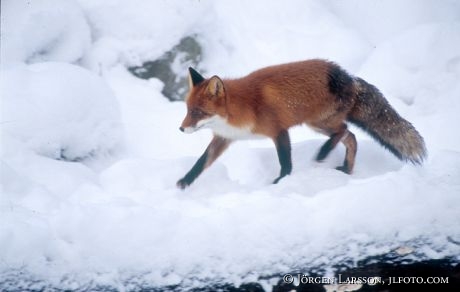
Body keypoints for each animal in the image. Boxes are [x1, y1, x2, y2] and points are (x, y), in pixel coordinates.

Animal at [176, 59, 424, 189]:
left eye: (198, 112)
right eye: (187, 110)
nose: (181, 128)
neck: (244, 107)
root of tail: (349, 78)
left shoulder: (279, 130)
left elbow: (285, 162)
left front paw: (281, 182)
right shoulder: (225, 137)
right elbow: (201, 162)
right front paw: (185, 182)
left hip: (318, 123)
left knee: (344, 131)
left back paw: (323, 153)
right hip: (320, 124)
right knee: (351, 138)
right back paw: (346, 169)